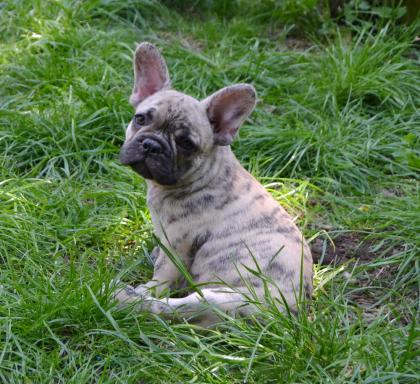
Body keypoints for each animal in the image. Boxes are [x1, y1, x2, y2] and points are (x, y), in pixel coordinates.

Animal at [115, 42, 312, 328]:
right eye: (140, 119)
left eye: (186, 143)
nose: (151, 145)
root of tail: (288, 316)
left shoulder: (177, 243)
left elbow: (162, 277)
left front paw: (146, 287)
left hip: (215, 299)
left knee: (165, 308)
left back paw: (126, 297)